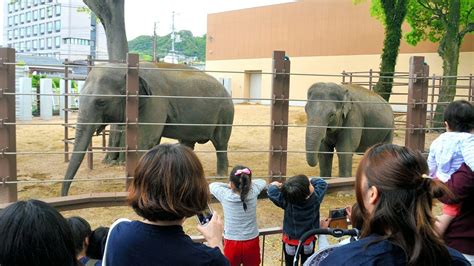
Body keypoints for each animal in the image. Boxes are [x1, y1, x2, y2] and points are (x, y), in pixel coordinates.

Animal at [61, 61, 235, 195]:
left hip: (225, 113)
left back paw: (220, 177)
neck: (125, 67)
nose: (64, 195)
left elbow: (145, 142)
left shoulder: (155, 101)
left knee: (220, 143)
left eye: (101, 102)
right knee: (187, 143)